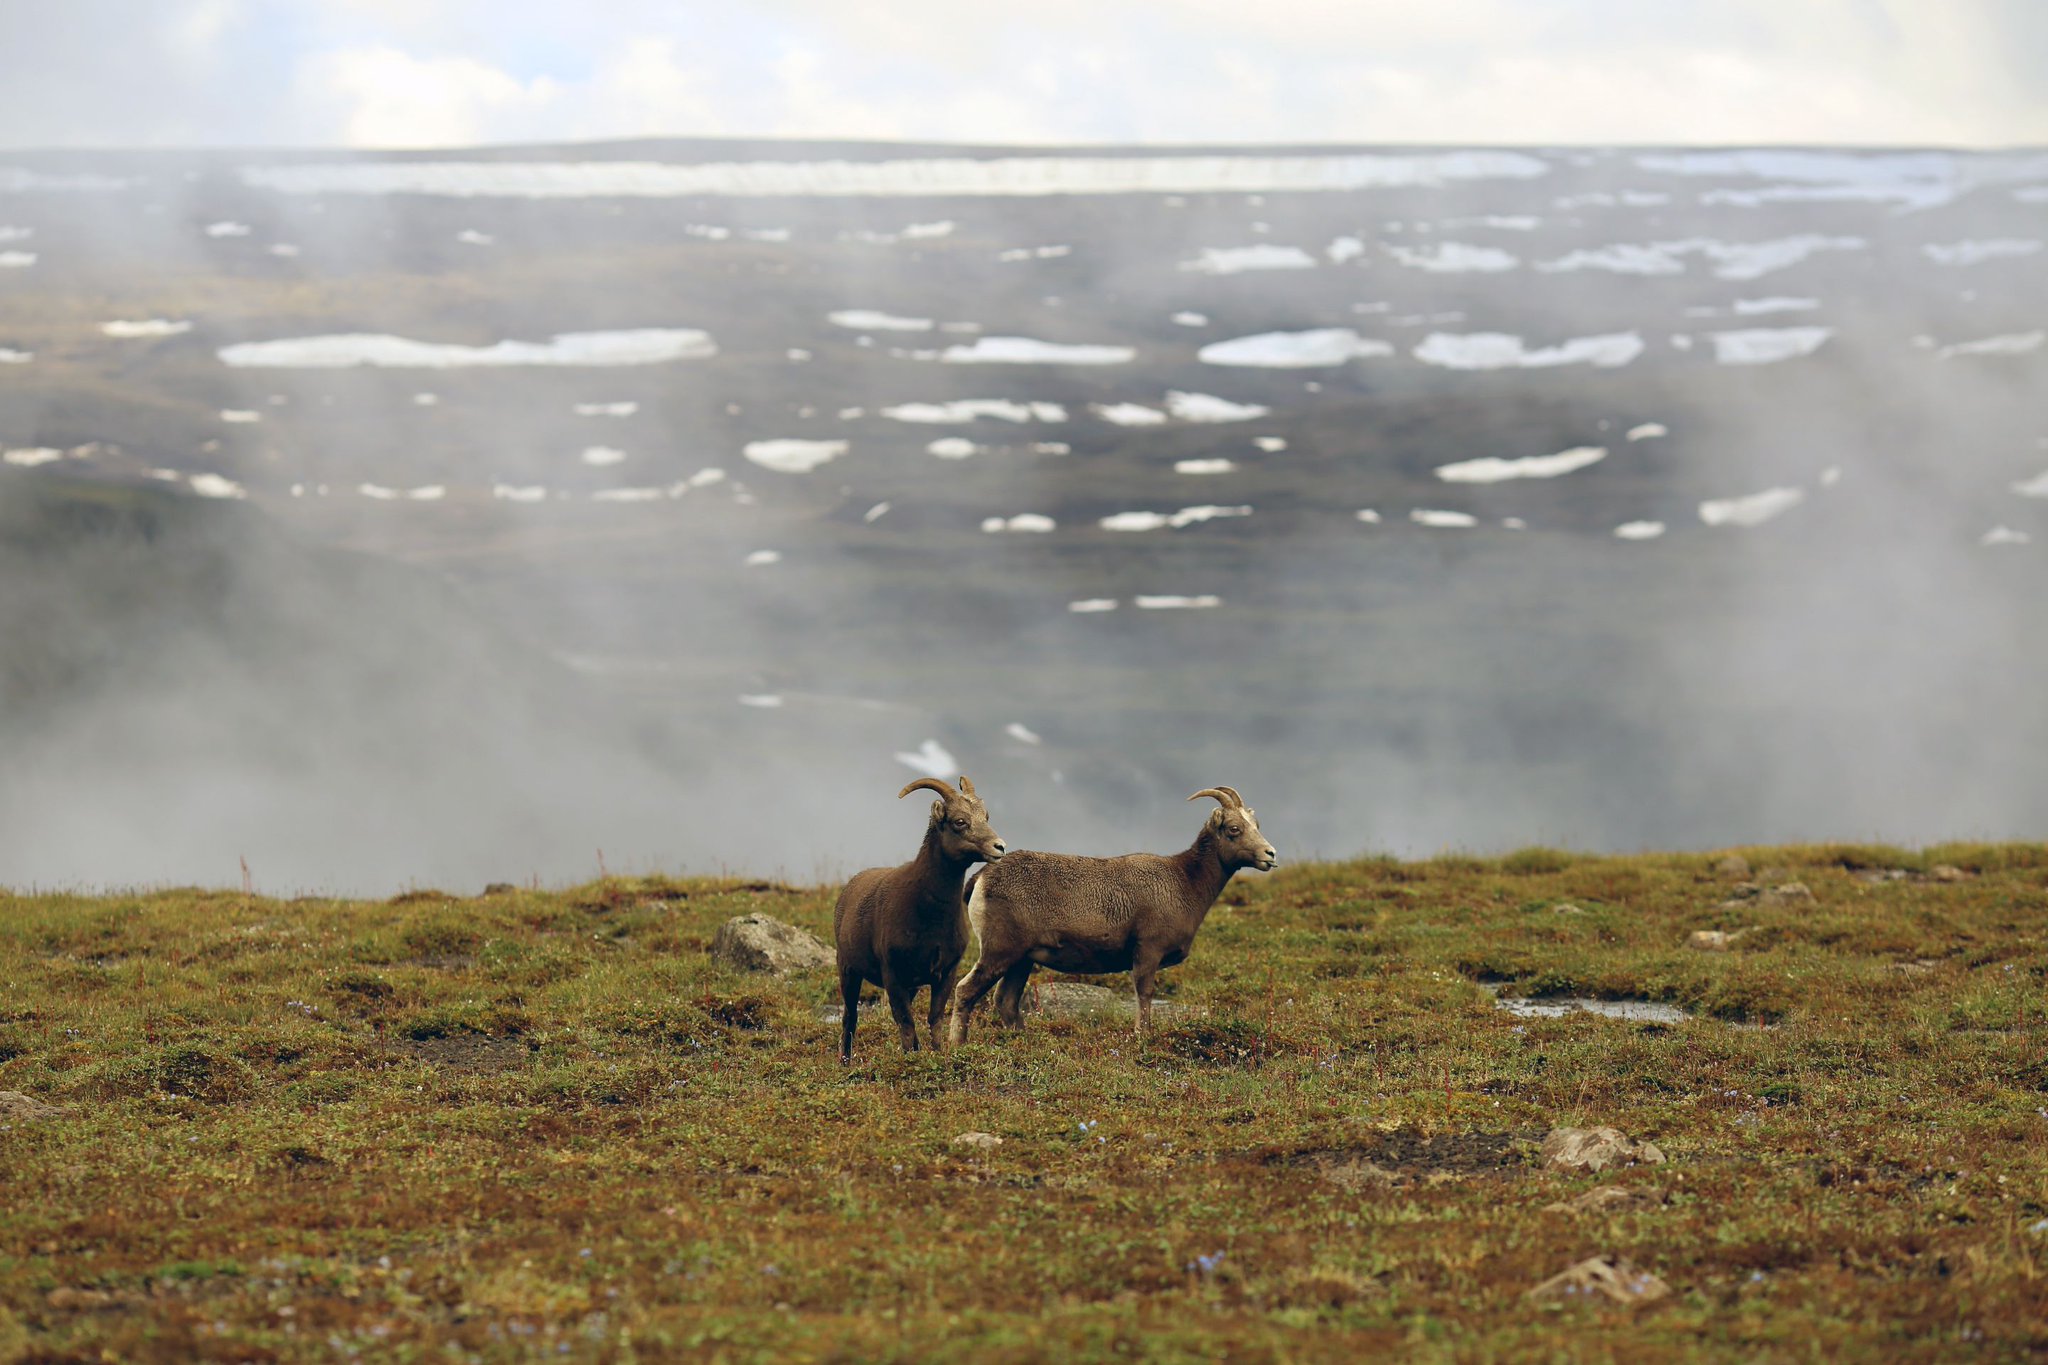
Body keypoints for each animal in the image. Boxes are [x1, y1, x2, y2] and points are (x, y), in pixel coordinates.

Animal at [823, 773, 999, 1064]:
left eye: (986, 816)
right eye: (959, 821)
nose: (999, 847)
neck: (928, 916)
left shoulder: (944, 973)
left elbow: (934, 1019)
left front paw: (935, 1054)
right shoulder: (893, 974)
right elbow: (905, 1022)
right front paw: (910, 1059)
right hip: (847, 969)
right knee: (850, 1016)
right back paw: (845, 1062)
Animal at [946, 785, 1269, 1039]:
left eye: (1256, 825)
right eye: (1234, 829)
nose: (1270, 855)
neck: (1184, 882)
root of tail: (981, 878)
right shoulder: (1147, 953)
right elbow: (1144, 994)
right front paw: (1141, 1035)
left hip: (1021, 960)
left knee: (1006, 1001)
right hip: (999, 953)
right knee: (965, 990)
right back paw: (956, 1045)